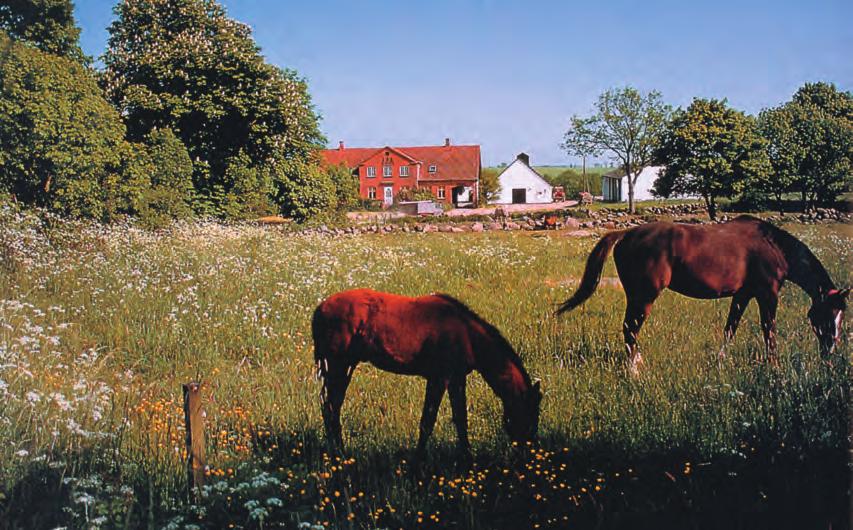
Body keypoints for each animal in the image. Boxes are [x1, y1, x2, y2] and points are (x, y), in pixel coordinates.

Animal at [312, 286, 540, 456]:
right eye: (530, 414)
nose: (531, 451)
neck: (467, 334)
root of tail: (320, 308)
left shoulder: (456, 378)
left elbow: (461, 420)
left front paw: (467, 459)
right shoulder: (439, 378)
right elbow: (427, 423)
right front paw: (417, 463)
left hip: (343, 366)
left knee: (331, 406)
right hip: (338, 365)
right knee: (331, 407)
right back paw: (339, 452)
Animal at [560, 214, 844, 372]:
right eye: (828, 314)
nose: (830, 353)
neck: (772, 246)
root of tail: (626, 233)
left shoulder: (743, 294)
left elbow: (730, 328)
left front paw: (720, 360)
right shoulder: (768, 294)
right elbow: (769, 330)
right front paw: (773, 366)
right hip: (644, 297)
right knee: (630, 329)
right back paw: (635, 370)